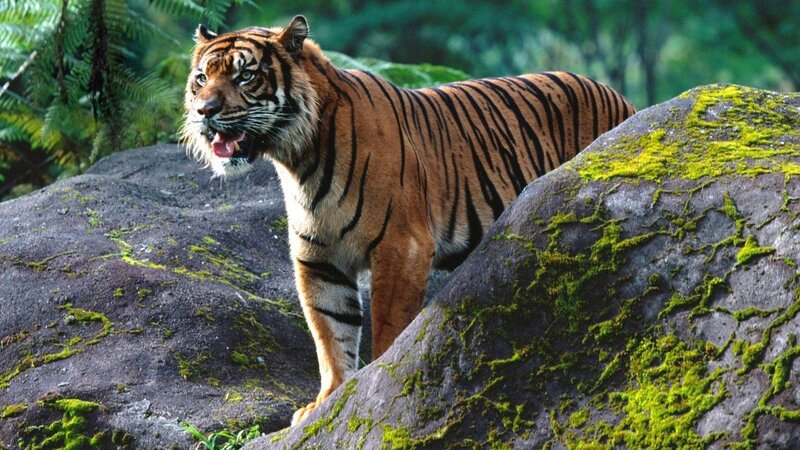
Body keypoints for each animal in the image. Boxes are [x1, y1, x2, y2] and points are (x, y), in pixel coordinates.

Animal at [181, 15, 635, 426]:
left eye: (245, 76)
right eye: (202, 78)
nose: (205, 111)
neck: (299, 159)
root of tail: (621, 98)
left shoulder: (402, 246)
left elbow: (387, 325)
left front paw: (372, 385)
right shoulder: (319, 260)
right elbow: (329, 333)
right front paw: (326, 400)